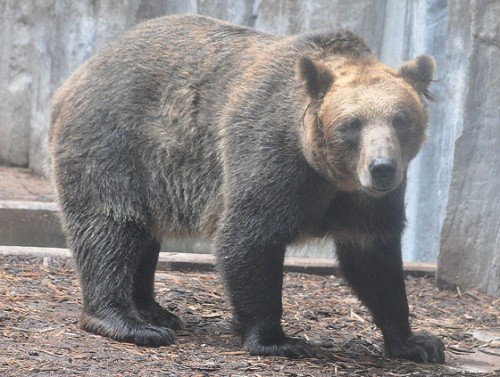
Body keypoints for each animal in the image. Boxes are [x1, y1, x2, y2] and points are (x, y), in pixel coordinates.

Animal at [47, 13, 446, 362]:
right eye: (353, 123)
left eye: (401, 120)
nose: (381, 168)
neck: (329, 174)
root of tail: (73, 79)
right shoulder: (271, 158)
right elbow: (249, 238)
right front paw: (278, 340)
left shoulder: (367, 200)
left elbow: (374, 259)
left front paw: (418, 342)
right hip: (116, 146)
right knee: (110, 228)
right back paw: (127, 321)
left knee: (143, 235)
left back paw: (155, 311)